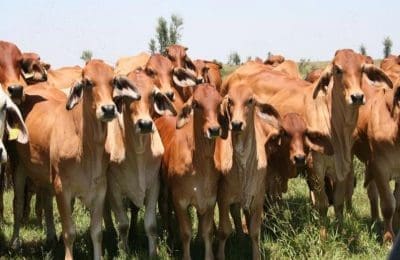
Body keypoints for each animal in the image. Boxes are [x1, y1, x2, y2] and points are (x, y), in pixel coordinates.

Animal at [11, 59, 141, 260]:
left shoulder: (99, 189)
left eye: (113, 81)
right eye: (87, 82)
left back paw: (50, 237)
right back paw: (15, 242)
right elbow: (69, 232)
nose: (108, 109)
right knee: (17, 204)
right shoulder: (62, 188)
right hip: (18, 166)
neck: (86, 147)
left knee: (46, 202)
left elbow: (96, 232)